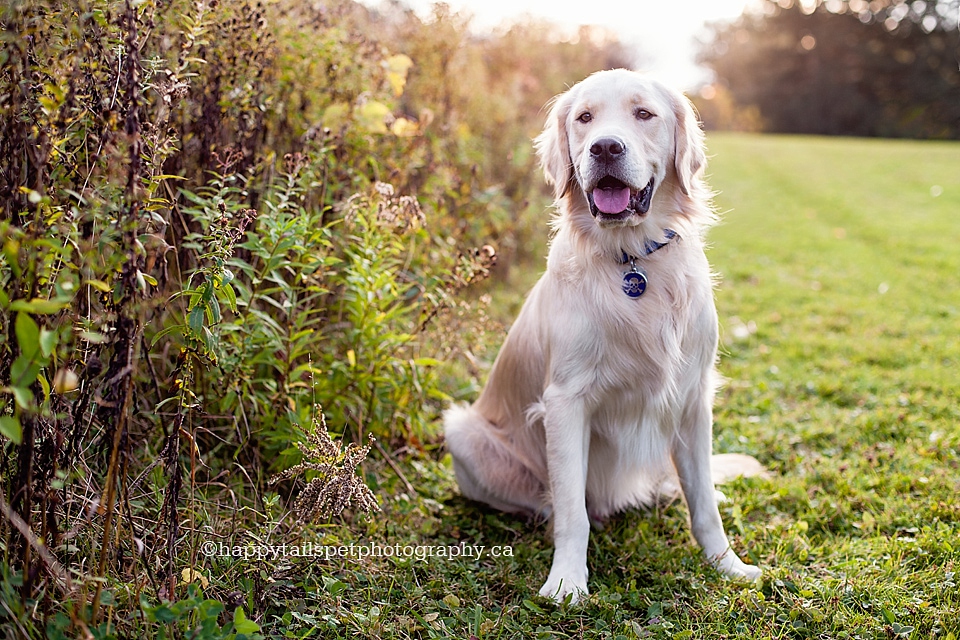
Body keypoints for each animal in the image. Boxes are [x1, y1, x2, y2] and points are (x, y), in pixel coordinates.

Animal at [444, 70, 764, 604]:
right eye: (584, 118)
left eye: (644, 114)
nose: (606, 147)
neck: (633, 259)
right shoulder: (565, 401)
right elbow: (573, 511)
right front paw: (566, 582)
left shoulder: (694, 398)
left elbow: (704, 506)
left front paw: (727, 566)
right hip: (463, 433)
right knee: (553, 501)